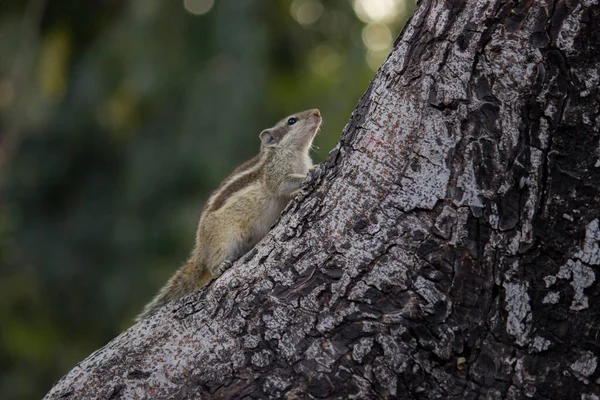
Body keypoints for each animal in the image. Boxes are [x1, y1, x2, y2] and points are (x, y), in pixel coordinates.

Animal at [137, 108, 324, 320]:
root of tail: (200, 251)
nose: (316, 112)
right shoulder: (275, 173)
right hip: (224, 240)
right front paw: (312, 173)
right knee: (212, 265)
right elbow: (282, 184)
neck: (293, 152)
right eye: (292, 121)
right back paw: (220, 266)